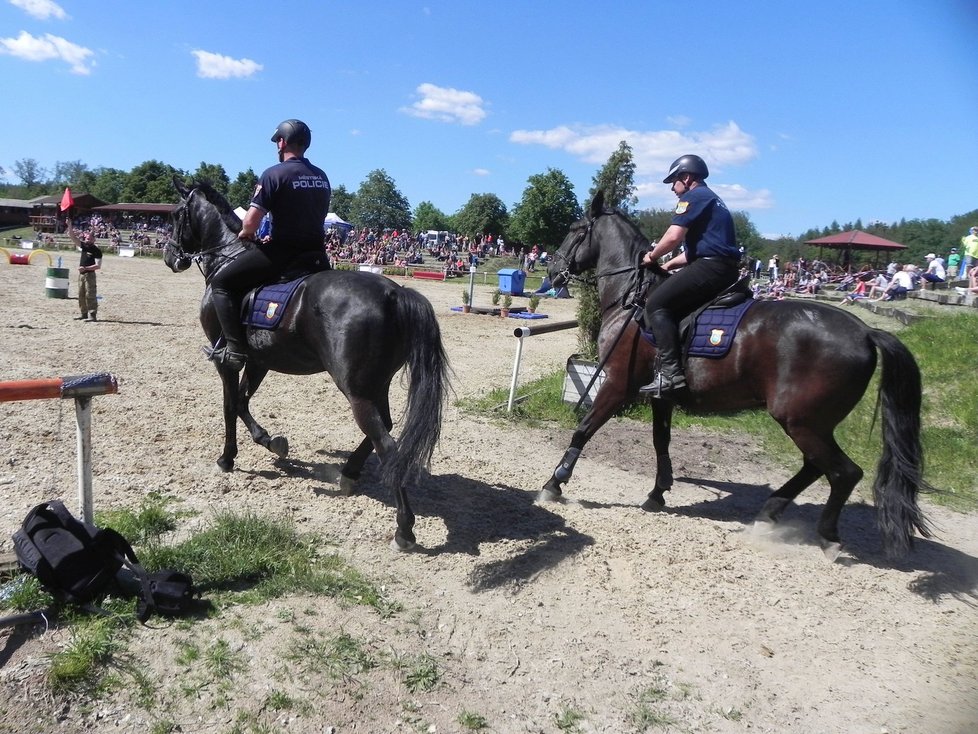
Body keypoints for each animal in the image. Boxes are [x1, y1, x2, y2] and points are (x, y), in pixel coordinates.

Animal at [163, 181, 450, 552]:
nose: (170, 257)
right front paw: (271, 441)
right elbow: (242, 402)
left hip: (356, 389)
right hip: (375, 384)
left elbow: (228, 406)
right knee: (382, 427)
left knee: (386, 443)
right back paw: (349, 473)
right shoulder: (259, 361)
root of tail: (393, 293)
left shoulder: (228, 362)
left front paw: (227, 459)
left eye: (174, 215)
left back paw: (403, 529)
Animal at [540, 193, 932, 560]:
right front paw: (658, 492)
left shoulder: (619, 384)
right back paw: (770, 512)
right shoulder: (661, 395)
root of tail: (865, 331)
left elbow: (584, 429)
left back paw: (828, 536)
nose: (552, 272)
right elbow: (660, 441)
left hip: (801, 420)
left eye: (574, 230)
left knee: (843, 472)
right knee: (815, 466)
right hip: (811, 422)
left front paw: (555, 482)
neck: (632, 300)